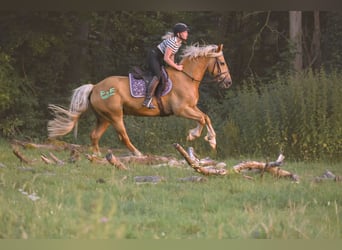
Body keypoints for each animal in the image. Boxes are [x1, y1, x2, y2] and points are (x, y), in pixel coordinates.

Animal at [48, 44, 232, 155]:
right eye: (222, 63)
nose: (228, 82)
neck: (187, 78)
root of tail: (95, 87)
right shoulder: (182, 110)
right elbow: (201, 119)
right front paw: (194, 136)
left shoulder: (191, 107)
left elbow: (206, 117)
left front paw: (212, 141)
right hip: (115, 116)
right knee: (123, 136)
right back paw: (137, 153)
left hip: (104, 118)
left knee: (94, 135)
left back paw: (97, 155)